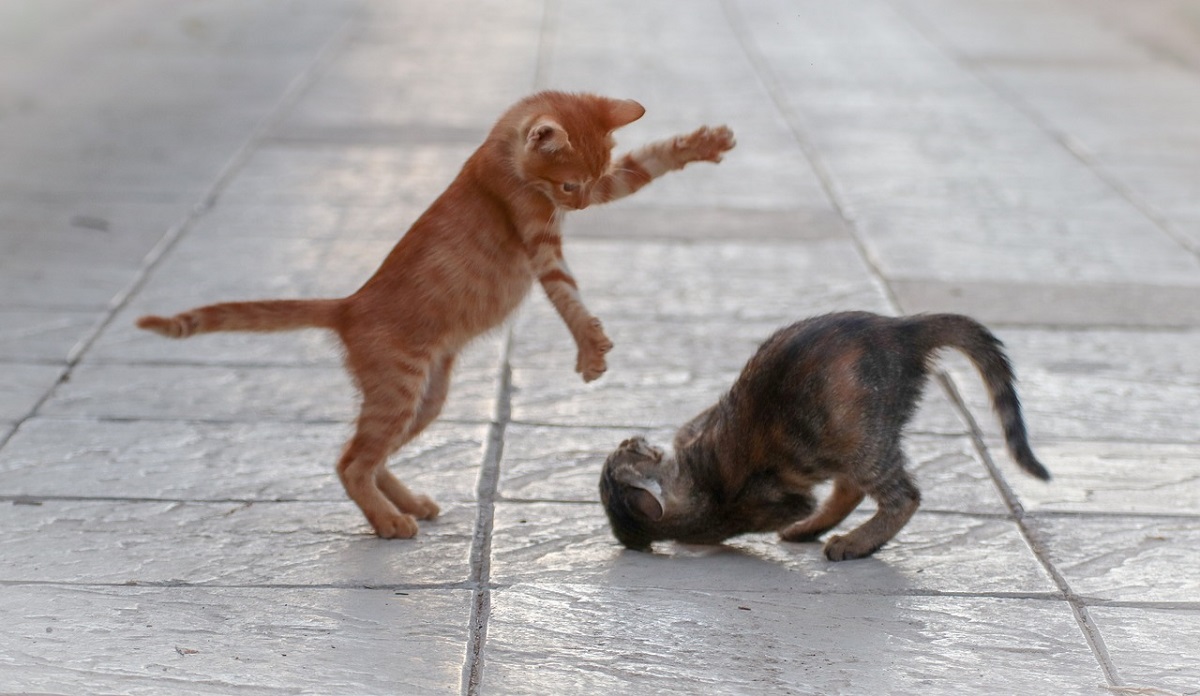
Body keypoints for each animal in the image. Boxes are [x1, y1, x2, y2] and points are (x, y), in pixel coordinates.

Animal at [131, 91, 729, 537]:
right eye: (567, 184)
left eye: (591, 177)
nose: (578, 205)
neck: (498, 155)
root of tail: (349, 305)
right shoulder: (539, 241)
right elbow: (568, 296)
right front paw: (588, 347)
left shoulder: (604, 188)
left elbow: (644, 166)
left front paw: (699, 144)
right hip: (398, 391)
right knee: (351, 462)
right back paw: (389, 522)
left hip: (425, 398)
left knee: (362, 456)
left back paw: (408, 503)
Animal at [600, 312, 1051, 561]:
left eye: (626, 451)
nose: (629, 439)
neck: (697, 496)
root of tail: (899, 328)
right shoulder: (785, 501)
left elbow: (694, 422)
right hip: (859, 440)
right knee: (891, 495)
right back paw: (847, 541)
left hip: (857, 440)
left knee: (889, 494)